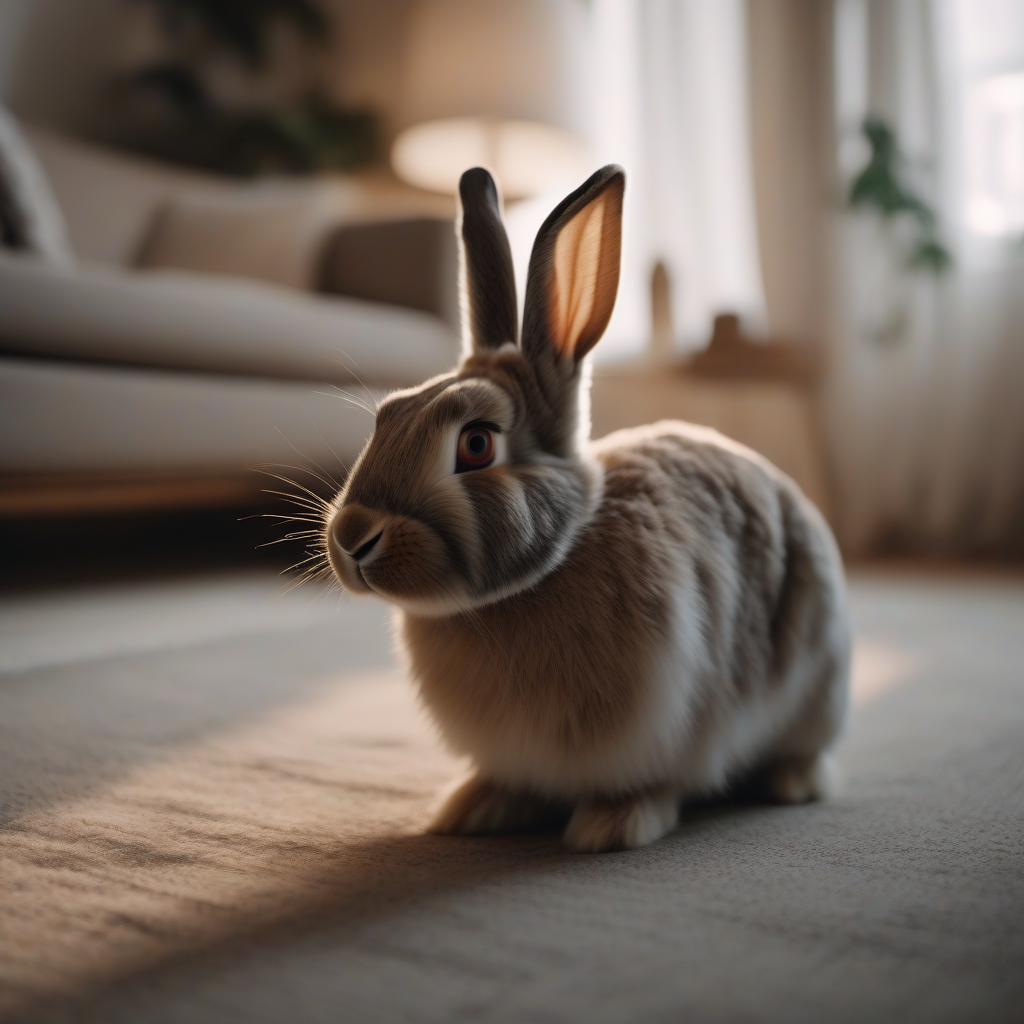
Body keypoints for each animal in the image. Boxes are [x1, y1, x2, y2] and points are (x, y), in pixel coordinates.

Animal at [325, 164, 851, 853]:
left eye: (475, 444)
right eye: (387, 414)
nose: (352, 537)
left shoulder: (665, 725)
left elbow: (650, 783)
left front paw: (610, 827)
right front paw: (471, 809)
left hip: (813, 686)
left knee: (807, 753)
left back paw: (790, 783)